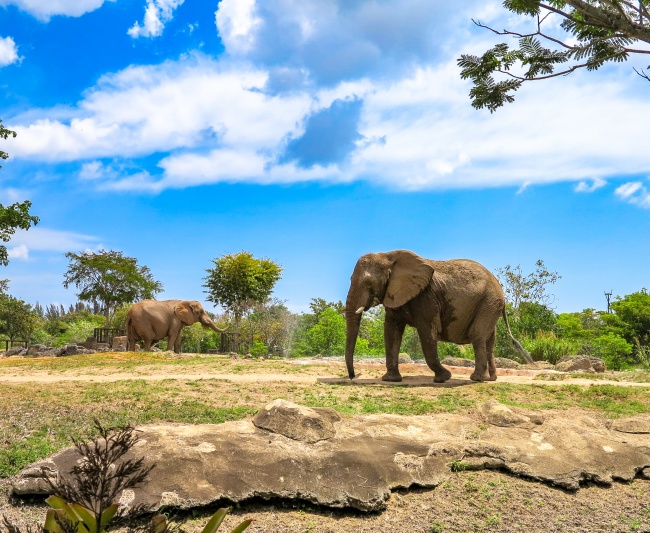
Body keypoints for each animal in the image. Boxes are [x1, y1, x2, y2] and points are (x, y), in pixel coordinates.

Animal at [342, 249, 528, 382]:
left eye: (368, 284)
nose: (352, 376)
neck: (388, 257)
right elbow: (391, 332)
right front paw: (391, 380)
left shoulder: (426, 297)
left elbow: (427, 332)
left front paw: (443, 378)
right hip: (490, 305)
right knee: (490, 341)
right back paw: (491, 379)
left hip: (488, 302)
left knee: (477, 335)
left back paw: (477, 379)